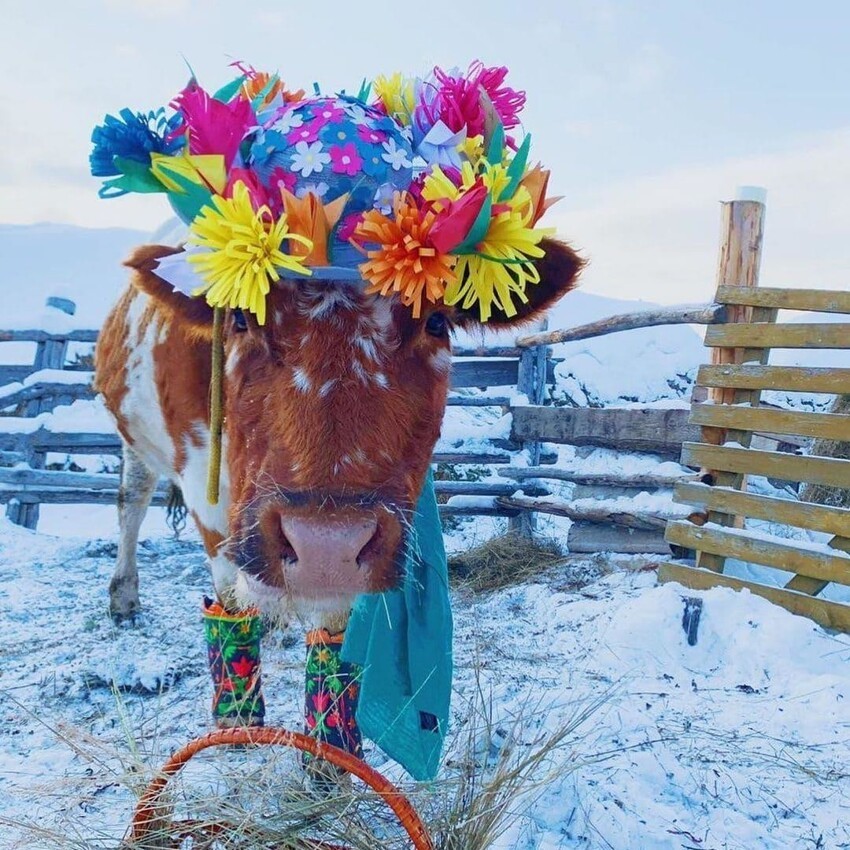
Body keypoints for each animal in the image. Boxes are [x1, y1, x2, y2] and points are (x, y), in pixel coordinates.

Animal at [94, 235, 584, 628]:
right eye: (240, 316)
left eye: (436, 321)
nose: (325, 547)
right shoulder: (206, 494)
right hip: (134, 442)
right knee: (131, 501)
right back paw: (124, 598)